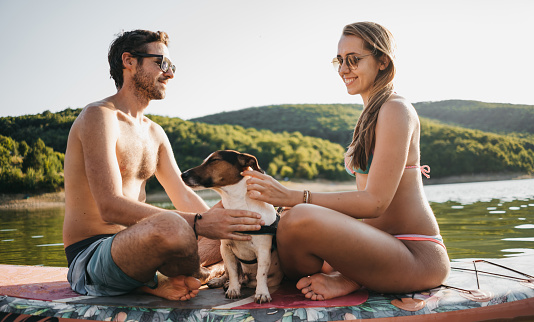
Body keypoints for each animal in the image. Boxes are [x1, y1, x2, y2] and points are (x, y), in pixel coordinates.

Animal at [182, 150, 286, 304]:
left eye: (214, 160)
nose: (182, 174)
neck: (237, 204)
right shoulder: (226, 249)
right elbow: (232, 272)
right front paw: (233, 289)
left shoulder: (263, 251)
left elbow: (261, 274)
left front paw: (262, 293)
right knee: (229, 273)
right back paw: (221, 281)